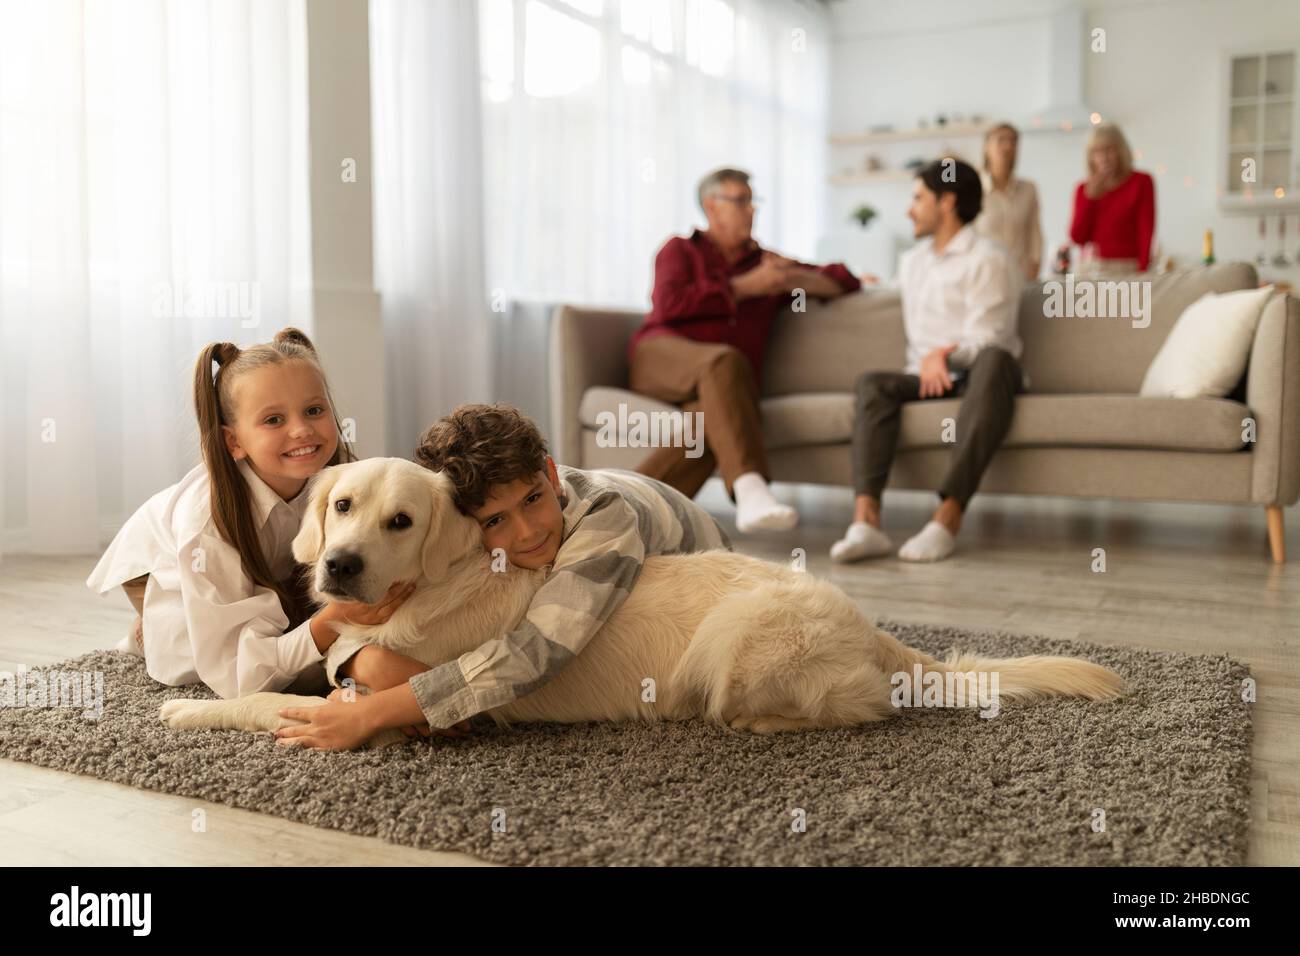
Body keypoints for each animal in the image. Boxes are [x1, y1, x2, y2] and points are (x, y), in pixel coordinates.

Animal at [162, 457, 1123, 749]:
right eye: (342, 505)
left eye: (402, 520)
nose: (340, 565)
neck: (432, 580)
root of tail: (880, 633)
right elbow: (293, 672)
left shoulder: (393, 697)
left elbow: (274, 702)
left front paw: (187, 712)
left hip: (737, 642)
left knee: (858, 709)